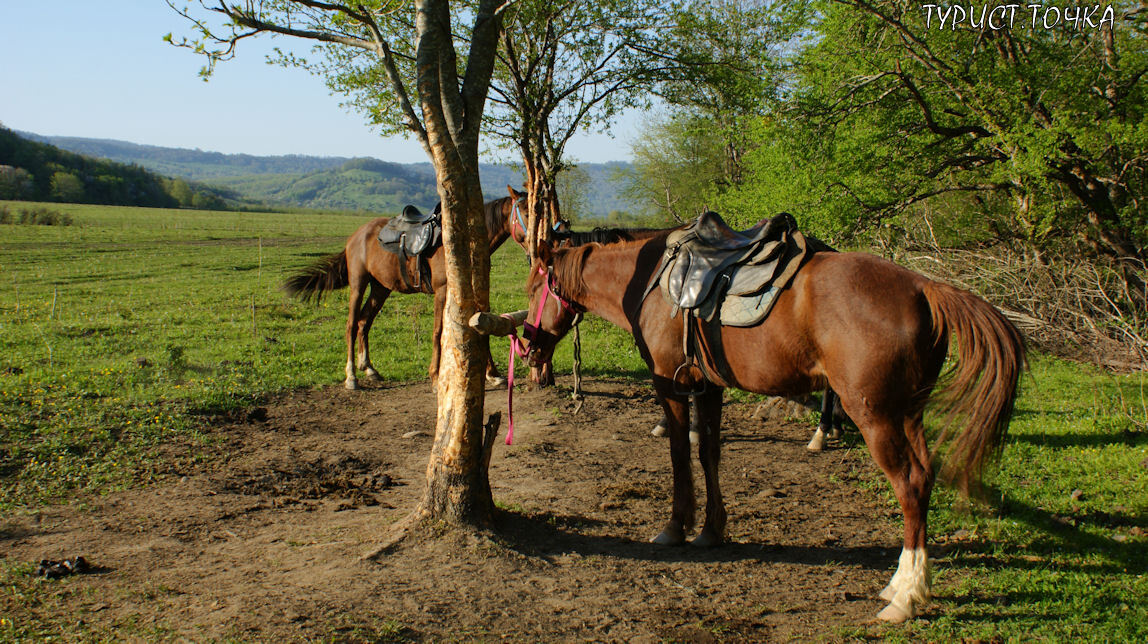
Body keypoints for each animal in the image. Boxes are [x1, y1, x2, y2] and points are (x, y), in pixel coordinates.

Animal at [282, 188, 528, 390]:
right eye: (524, 211)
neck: (463, 246)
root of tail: (356, 236)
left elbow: (481, 327)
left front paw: (493, 374)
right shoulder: (442, 292)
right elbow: (438, 331)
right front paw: (435, 377)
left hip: (380, 288)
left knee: (364, 322)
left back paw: (369, 369)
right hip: (358, 284)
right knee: (351, 325)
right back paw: (351, 376)